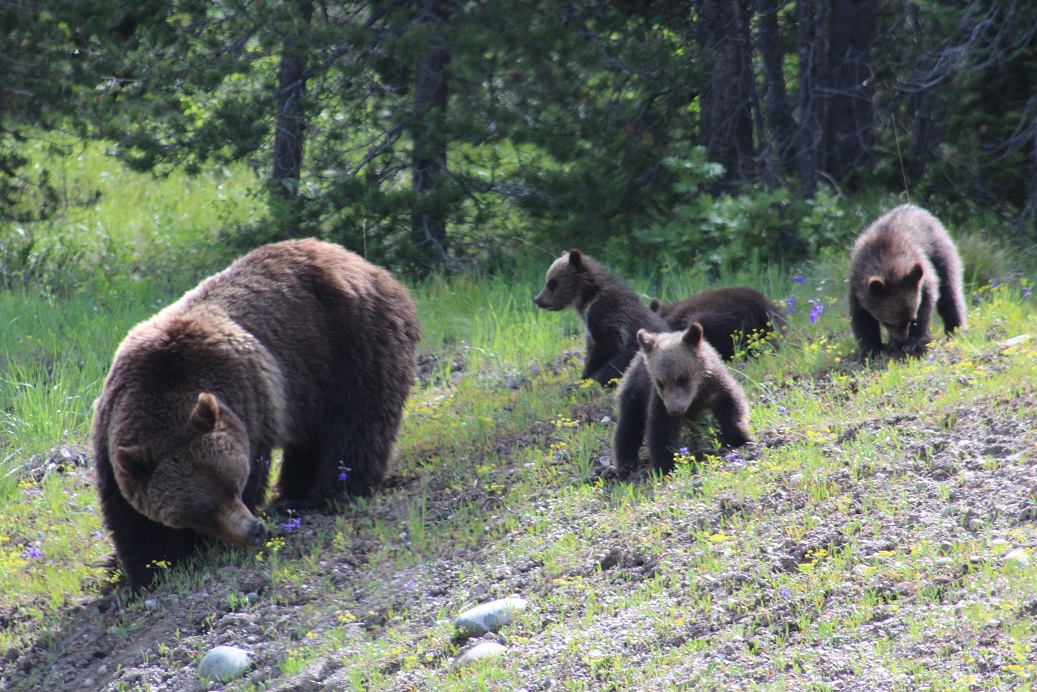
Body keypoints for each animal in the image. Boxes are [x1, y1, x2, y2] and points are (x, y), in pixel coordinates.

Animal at [95, 238, 418, 589]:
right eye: (202, 510)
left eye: (234, 485)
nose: (254, 529)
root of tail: (362, 263)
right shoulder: (112, 434)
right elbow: (132, 520)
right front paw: (140, 568)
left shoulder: (249, 405)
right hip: (309, 385)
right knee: (312, 441)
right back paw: (292, 493)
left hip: (353, 345)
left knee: (356, 429)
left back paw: (322, 496)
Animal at [530, 248, 667, 388]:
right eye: (548, 281)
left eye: (552, 283)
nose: (538, 300)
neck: (587, 297)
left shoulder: (604, 312)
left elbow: (607, 344)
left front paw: (585, 378)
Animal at [846, 204, 966, 356]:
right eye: (888, 322)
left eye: (911, 319)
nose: (900, 341)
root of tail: (917, 209)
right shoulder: (857, 286)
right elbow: (861, 316)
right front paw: (871, 349)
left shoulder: (922, 274)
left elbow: (927, 302)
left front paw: (912, 342)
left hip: (940, 251)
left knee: (949, 292)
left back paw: (956, 330)